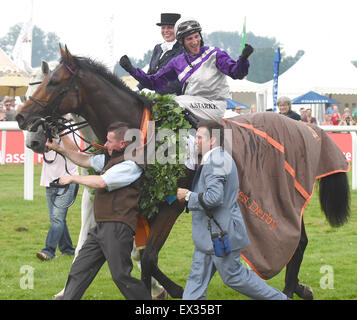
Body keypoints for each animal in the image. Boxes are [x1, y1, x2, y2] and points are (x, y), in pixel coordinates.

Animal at [16, 45, 348, 300]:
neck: (144, 131)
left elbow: (148, 256)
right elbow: (127, 249)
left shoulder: (171, 204)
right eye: (36, 83)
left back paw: (291, 289)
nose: (23, 121)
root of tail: (305, 126)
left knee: (296, 241)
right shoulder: (132, 201)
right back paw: (297, 287)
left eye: (54, 83)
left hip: (285, 197)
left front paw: (170, 289)